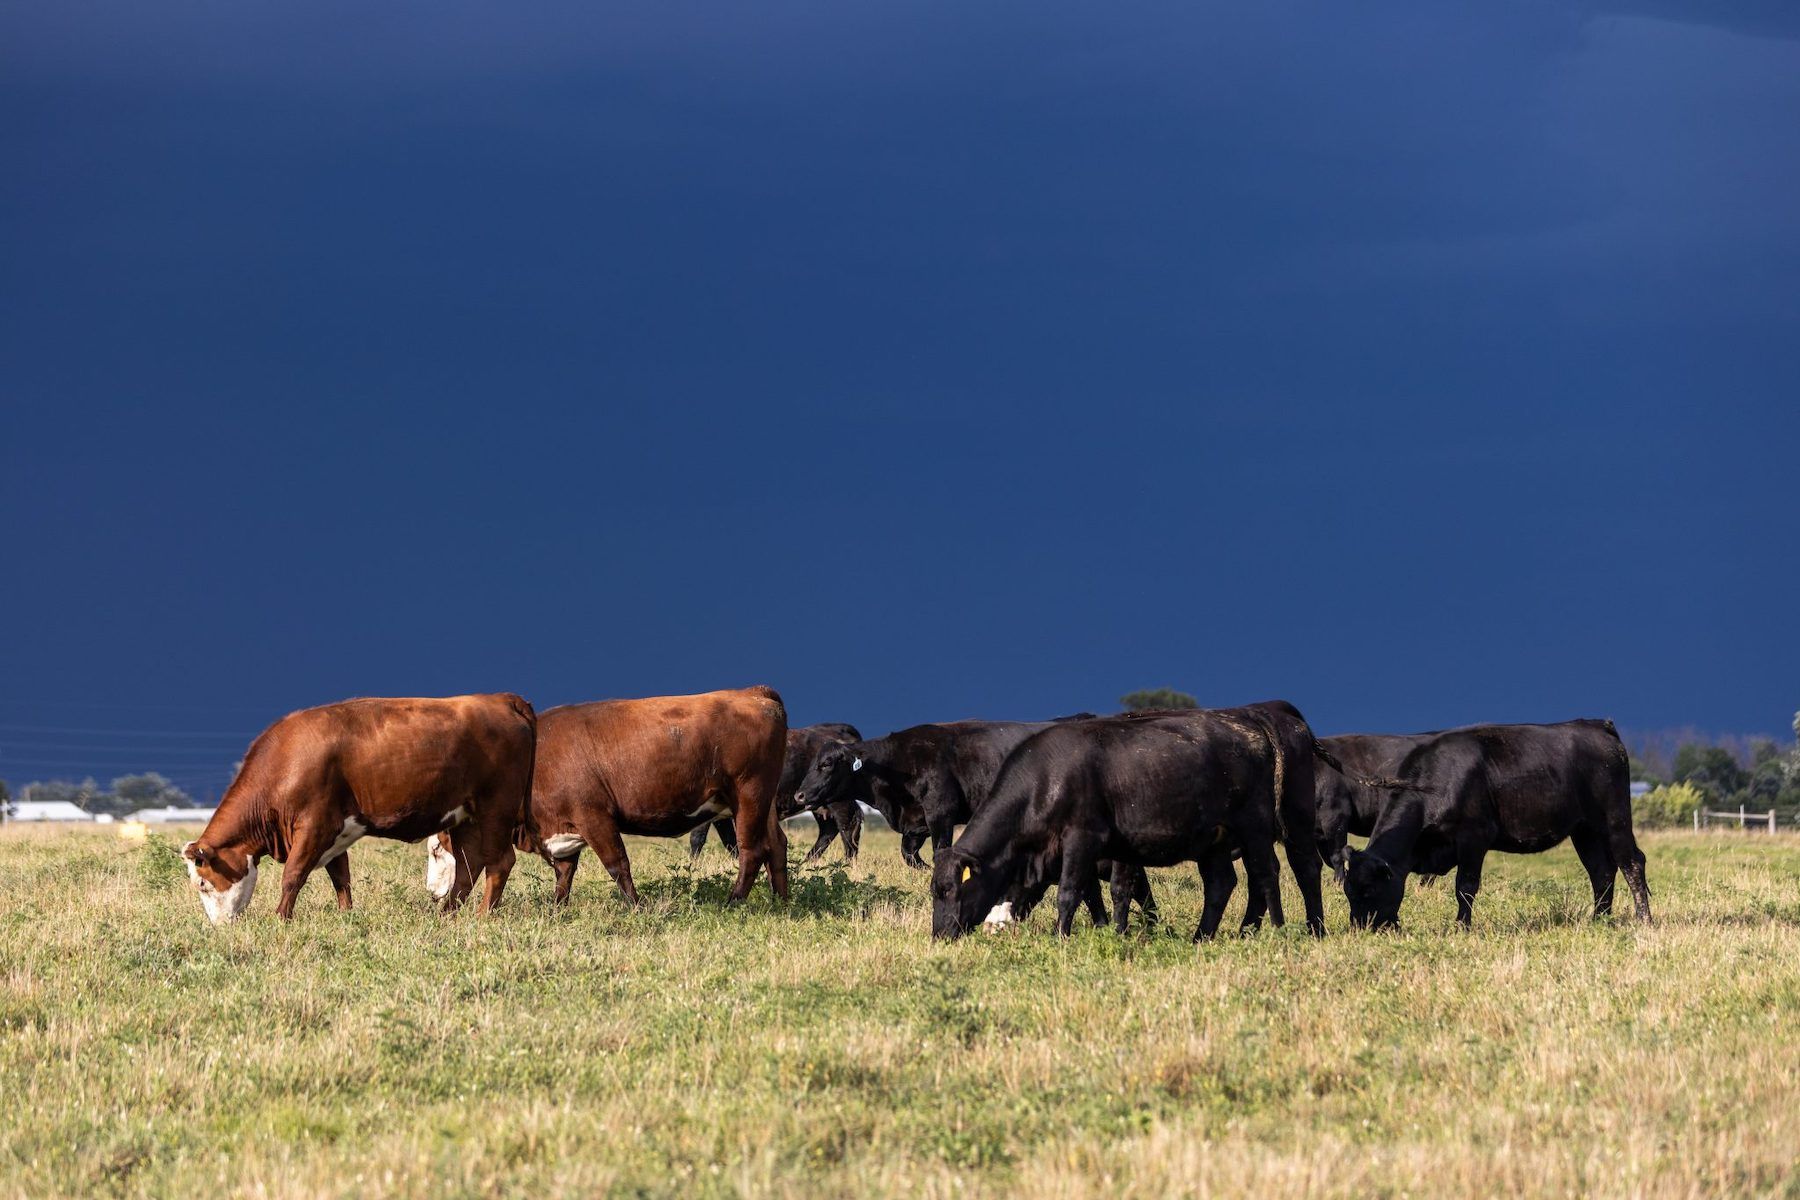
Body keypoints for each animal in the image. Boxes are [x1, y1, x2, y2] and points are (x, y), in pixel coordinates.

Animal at [182, 693, 536, 923]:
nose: (219, 926)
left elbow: (293, 875)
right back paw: (446, 916)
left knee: (499, 862)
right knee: (468, 867)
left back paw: (483, 916)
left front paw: (281, 919)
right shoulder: (334, 832)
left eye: (202, 883)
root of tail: (501, 698)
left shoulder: (314, 826)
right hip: (465, 815)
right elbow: (341, 877)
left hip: (496, 809)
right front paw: (346, 916)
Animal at [427, 686, 788, 907]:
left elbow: (617, 864)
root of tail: (753, 692)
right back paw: (780, 902)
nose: (431, 893)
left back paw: (733, 902)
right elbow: (564, 873)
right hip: (764, 801)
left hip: (749, 794)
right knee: (777, 845)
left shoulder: (594, 815)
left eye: (436, 849)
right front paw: (557, 910)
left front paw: (638, 907)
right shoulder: (564, 824)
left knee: (752, 850)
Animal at [687, 722, 864, 864]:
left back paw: (848, 864)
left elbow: (697, 838)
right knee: (829, 829)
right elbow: (729, 840)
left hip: (839, 801)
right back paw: (806, 863)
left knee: (848, 826)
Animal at [932, 708, 1295, 941]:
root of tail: (1249, 727)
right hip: (1213, 841)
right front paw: (1113, 931)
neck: (1046, 780)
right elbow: (1112, 891)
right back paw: (1200, 938)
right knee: (1220, 884)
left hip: (1254, 827)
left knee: (1266, 874)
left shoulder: (1082, 839)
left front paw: (1061, 938)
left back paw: (1278, 931)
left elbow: (1071, 892)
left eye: (949, 889)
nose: (939, 935)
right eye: (935, 890)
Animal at [1341, 719, 1652, 930]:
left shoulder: (1473, 837)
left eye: (1369, 890)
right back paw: (1599, 919)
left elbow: (1465, 885)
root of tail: (1595, 725)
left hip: (1614, 819)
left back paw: (1643, 919)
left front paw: (1462, 927)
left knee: (1631, 863)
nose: (1360, 928)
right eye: (1348, 892)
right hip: (1584, 830)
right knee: (1601, 871)